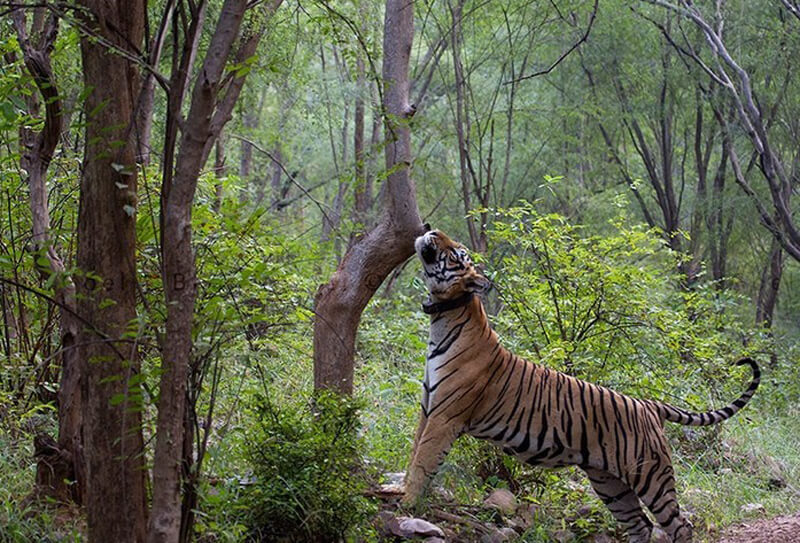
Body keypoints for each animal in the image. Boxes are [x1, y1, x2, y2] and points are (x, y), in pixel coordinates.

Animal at [403, 229, 760, 543]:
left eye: (457, 252)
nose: (430, 230)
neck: (444, 315)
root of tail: (648, 404)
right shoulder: (428, 409)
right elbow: (414, 454)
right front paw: (401, 493)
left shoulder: (445, 416)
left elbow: (422, 462)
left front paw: (406, 505)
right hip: (610, 483)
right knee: (640, 525)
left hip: (651, 476)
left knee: (680, 525)